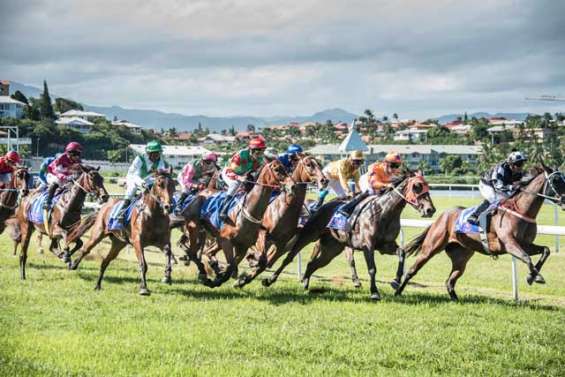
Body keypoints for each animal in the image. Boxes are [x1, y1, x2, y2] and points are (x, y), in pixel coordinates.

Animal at [232, 154, 328, 286]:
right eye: (309, 164)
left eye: (319, 164)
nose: (324, 180)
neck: (285, 208)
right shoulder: (262, 234)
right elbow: (262, 258)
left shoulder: (282, 243)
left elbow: (266, 262)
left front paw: (246, 279)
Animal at [262, 171, 434, 300]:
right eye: (417, 187)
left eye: (427, 187)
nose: (430, 210)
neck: (384, 211)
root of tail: (323, 206)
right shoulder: (368, 246)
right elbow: (372, 268)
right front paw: (374, 292)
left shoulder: (386, 246)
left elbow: (402, 253)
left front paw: (396, 281)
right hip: (309, 235)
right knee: (289, 257)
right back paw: (269, 280)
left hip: (331, 248)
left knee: (312, 264)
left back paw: (305, 283)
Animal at [392, 164, 564, 300]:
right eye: (556, 180)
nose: (563, 200)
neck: (521, 210)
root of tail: (441, 217)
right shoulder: (509, 244)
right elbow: (526, 257)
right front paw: (537, 277)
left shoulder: (525, 244)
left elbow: (546, 251)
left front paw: (531, 276)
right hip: (431, 248)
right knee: (412, 270)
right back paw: (398, 291)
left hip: (462, 256)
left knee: (450, 281)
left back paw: (455, 299)